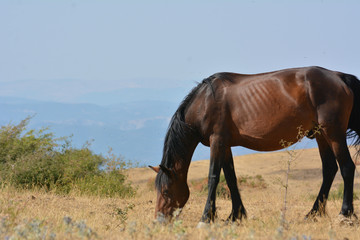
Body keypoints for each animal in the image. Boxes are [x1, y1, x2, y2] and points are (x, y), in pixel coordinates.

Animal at [149, 66, 360, 223]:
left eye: (166, 191)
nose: (159, 221)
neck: (204, 102)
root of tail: (339, 77)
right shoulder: (225, 145)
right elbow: (231, 178)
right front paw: (235, 215)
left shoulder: (217, 141)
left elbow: (213, 177)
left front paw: (206, 218)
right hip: (320, 135)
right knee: (330, 169)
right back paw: (313, 213)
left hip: (333, 133)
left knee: (347, 167)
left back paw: (345, 214)